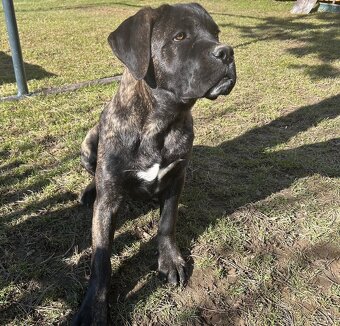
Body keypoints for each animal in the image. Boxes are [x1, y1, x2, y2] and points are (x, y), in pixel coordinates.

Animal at [73, 3, 235, 326]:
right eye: (180, 36)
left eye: (215, 33)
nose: (226, 52)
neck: (160, 121)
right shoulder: (107, 202)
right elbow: (101, 258)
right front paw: (94, 306)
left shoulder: (176, 179)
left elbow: (167, 223)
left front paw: (170, 260)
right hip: (87, 143)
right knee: (92, 174)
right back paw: (88, 191)